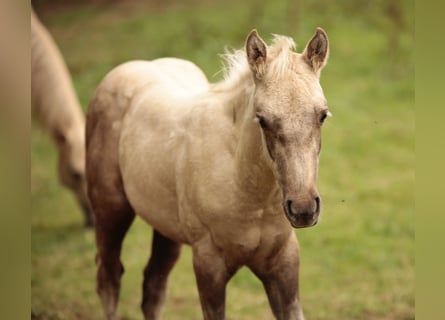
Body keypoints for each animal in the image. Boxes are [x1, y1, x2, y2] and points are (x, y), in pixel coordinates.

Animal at [86, 28, 330, 320]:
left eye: (322, 115)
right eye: (262, 119)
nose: (303, 209)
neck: (247, 192)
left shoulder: (283, 263)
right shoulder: (209, 264)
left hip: (166, 230)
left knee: (153, 285)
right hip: (111, 212)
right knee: (109, 278)